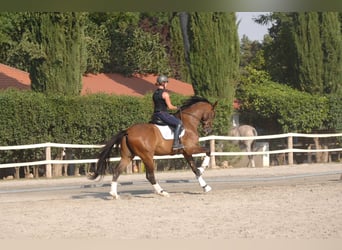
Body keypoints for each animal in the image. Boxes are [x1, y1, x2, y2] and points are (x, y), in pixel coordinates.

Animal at [87, 95, 216, 199]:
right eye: (212, 114)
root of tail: (127, 131)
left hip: (127, 156)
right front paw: (203, 167)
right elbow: (208, 151)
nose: (208, 130)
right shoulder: (190, 148)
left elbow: (194, 169)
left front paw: (206, 186)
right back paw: (162, 192)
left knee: (117, 171)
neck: (188, 122)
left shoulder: (186, 152)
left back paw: (114, 194)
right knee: (150, 175)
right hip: (147, 156)